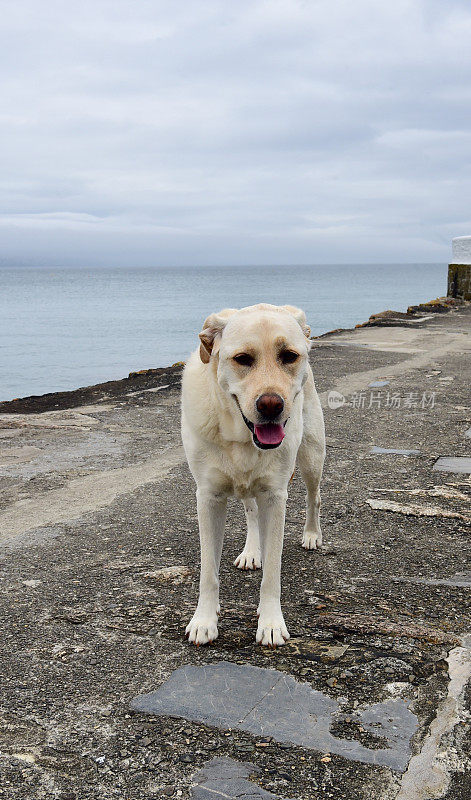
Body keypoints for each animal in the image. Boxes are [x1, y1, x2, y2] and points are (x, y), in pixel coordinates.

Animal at [181, 304, 324, 648]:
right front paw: (204, 620)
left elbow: (272, 572)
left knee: (314, 497)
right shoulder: (208, 498)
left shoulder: (275, 496)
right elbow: (208, 571)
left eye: (289, 355)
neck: (240, 437)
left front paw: (270, 622)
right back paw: (251, 551)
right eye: (243, 358)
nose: (271, 405)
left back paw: (311, 534)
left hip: (313, 456)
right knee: (251, 512)